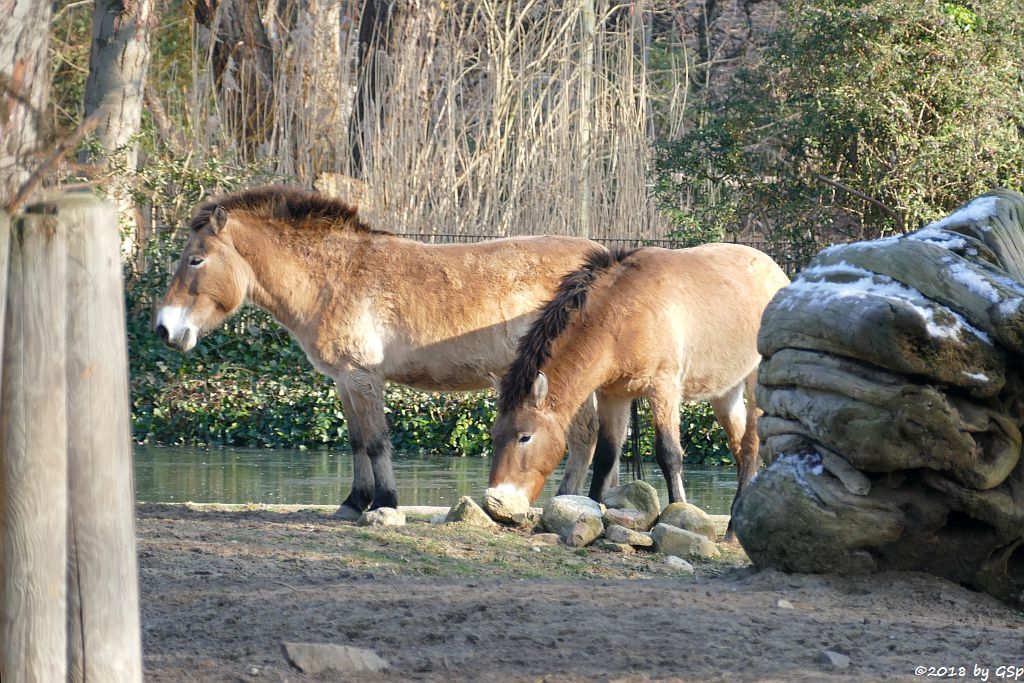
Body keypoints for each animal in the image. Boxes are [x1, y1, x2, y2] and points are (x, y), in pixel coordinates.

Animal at [155, 184, 602, 516]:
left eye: (195, 260)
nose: (164, 328)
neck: (333, 278)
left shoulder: (363, 377)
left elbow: (375, 442)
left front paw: (385, 505)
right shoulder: (344, 381)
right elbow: (356, 442)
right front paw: (354, 503)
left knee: (581, 439)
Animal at [491, 245, 786, 528]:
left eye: (525, 436)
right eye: (495, 435)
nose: (497, 499)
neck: (623, 314)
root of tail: (776, 272)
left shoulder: (663, 389)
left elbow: (668, 454)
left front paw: (678, 511)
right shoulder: (613, 395)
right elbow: (605, 457)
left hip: (755, 381)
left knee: (751, 445)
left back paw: (733, 529)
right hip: (725, 392)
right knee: (739, 448)